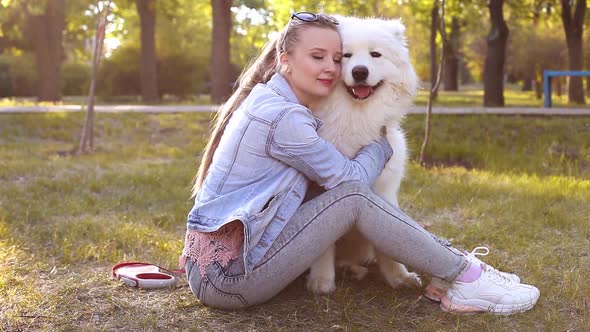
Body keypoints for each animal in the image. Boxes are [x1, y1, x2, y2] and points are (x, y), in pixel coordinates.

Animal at [306, 16, 426, 294]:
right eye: (345, 56)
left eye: (375, 55)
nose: (360, 71)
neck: (357, 117)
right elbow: (323, 245)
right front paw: (321, 281)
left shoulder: (383, 192)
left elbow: (390, 240)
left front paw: (398, 277)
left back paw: (353, 270)